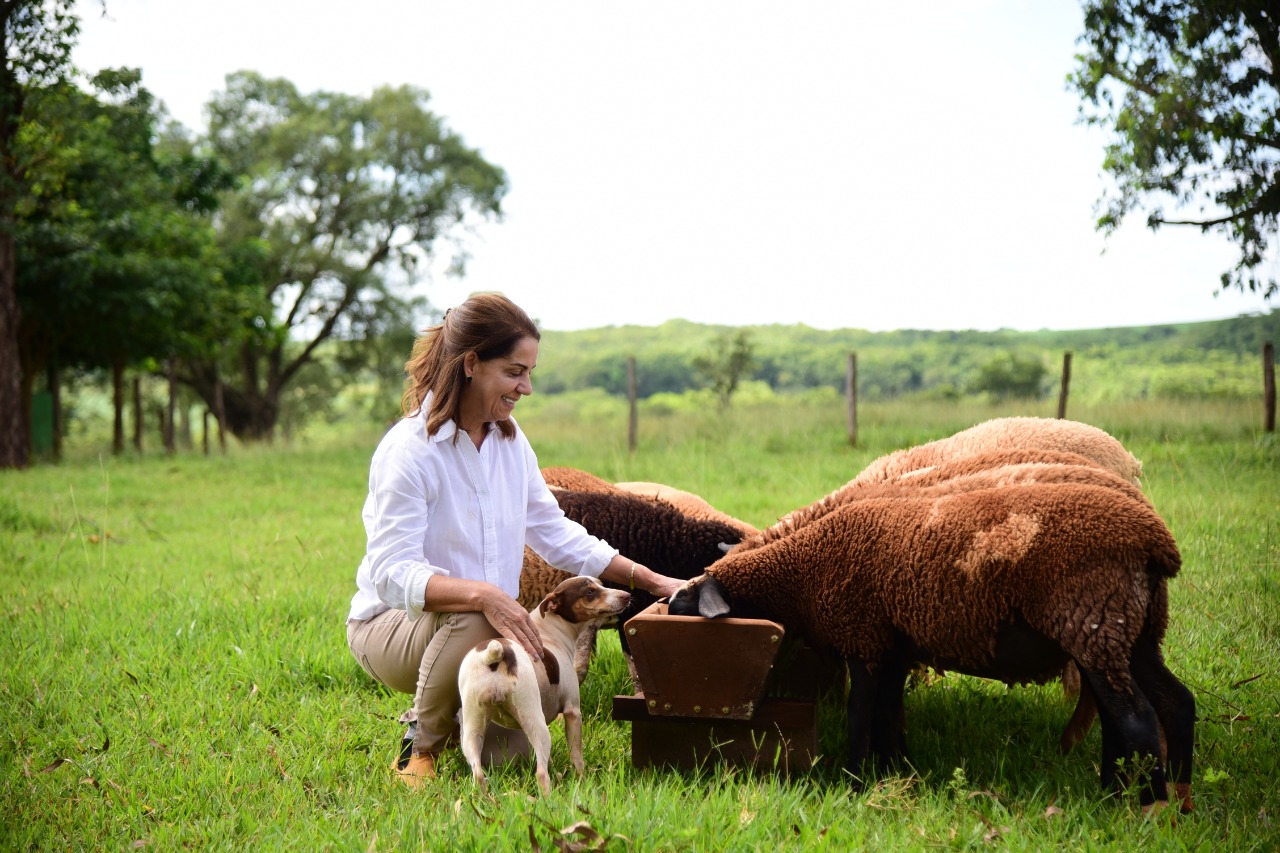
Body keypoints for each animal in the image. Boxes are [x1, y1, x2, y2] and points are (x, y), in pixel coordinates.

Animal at [455, 571, 629, 788]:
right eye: (589, 591)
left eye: (601, 583)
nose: (627, 595)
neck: (550, 630)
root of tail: (495, 656)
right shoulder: (572, 712)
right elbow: (577, 757)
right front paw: (582, 781)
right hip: (534, 720)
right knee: (541, 773)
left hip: (473, 728)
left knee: (477, 773)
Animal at [670, 479, 1198, 809]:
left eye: (684, 606)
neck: (803, 570)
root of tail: (1157, 544)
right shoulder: (892, 646)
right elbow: (887, 713)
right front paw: (897, 771)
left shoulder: (862, 636)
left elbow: (860, 715)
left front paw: (853, 782)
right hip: (1131, 631)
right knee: (1173, 703)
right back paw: (1171, 796)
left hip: (1094, 621)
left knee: (1136, 717)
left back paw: (1140, 806)